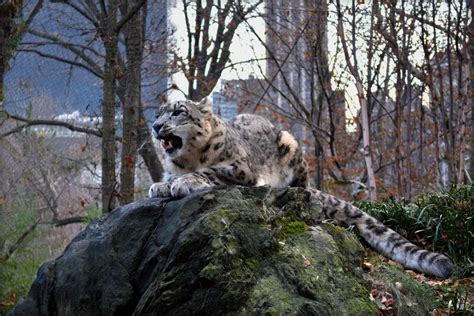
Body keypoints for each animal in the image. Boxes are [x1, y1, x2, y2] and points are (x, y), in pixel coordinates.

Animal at [150, 97, 454, 278]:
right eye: (158, 113)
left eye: (178, 112)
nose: (155, 125)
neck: (187, 160)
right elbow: (168, 177)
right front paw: (161, 186)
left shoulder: (240, 169)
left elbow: (210, 170)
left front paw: (185, 182)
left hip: (291, 147)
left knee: (304, 186)